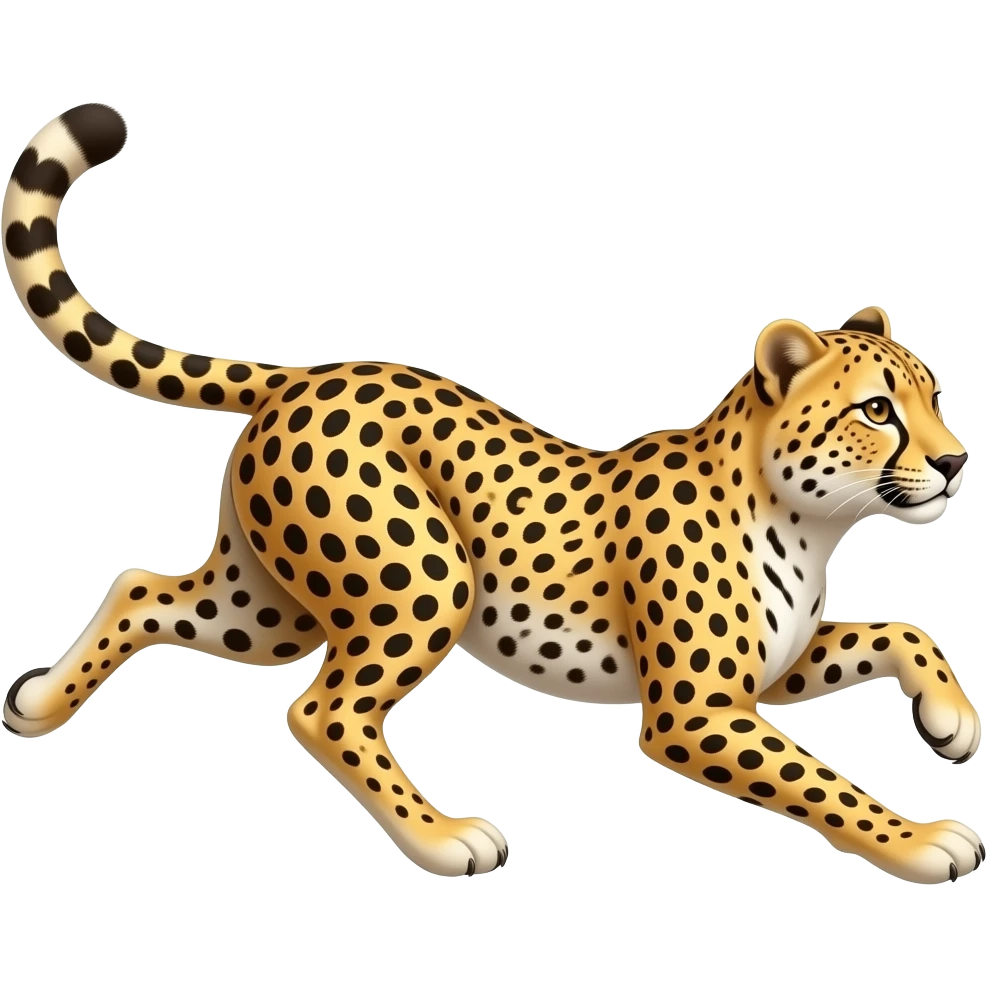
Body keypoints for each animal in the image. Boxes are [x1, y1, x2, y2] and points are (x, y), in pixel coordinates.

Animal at [2, 103, 982, 883]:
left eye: (933, 392)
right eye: (876, 410)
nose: (956, 462)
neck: (809, 519)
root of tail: (308, 374)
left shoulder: (776, 669)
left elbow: (904, 630)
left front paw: (951, 722)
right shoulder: (695, 709)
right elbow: (825, 782)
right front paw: (919, 838)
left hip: (267, 604)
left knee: (142, 589)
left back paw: (38, 702)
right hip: (424, 581)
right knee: (324, 710)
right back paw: (443, 838)